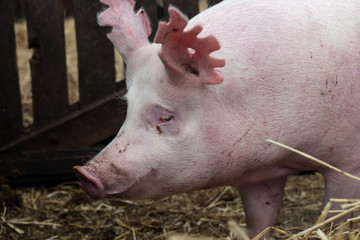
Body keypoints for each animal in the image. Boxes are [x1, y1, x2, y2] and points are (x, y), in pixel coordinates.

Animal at [72, 0, 360, 236]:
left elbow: (335, 218)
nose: (85, 173)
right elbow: (259, 218)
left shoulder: (347, 162)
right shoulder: (255, 170)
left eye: (165, 117)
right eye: (128, 107)